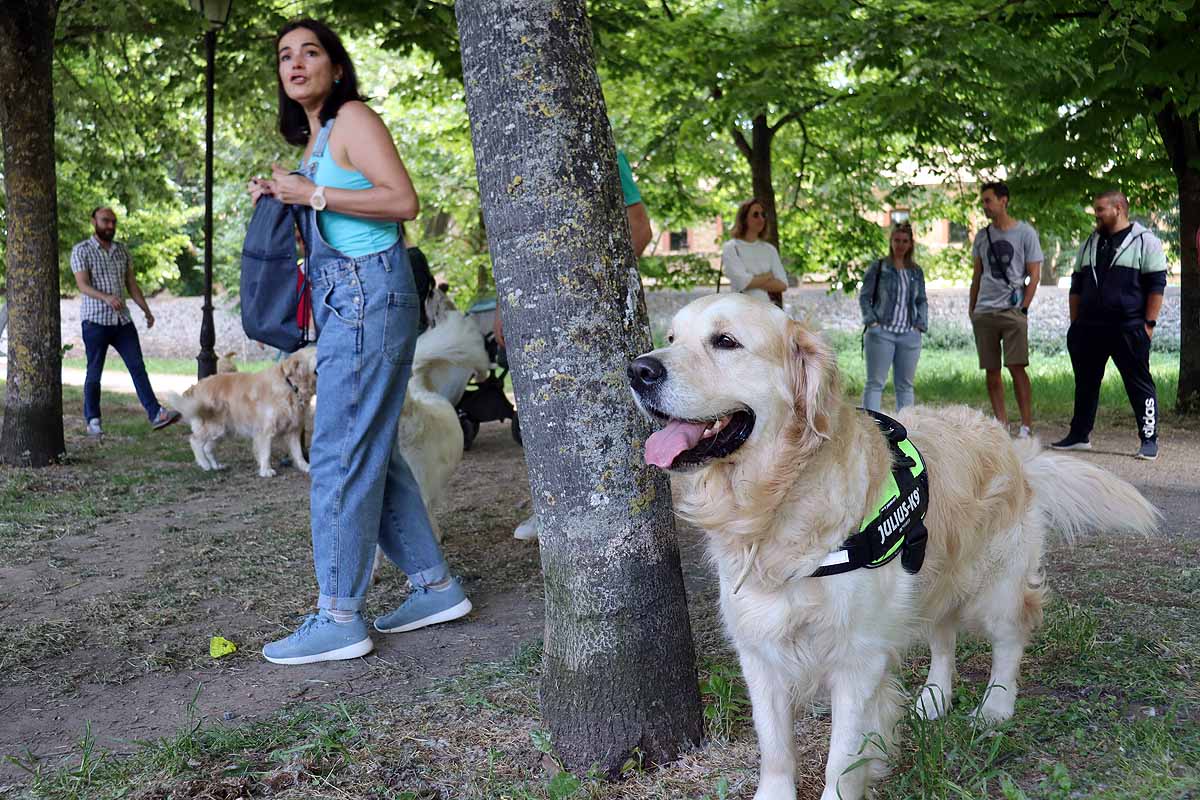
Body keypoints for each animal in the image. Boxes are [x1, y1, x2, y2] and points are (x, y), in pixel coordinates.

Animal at [171, 347, 319, 474]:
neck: (291, 386)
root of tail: (197, 386)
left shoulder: (294, 429)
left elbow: (298, 453)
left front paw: (305, 466)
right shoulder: (265, 430)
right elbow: (266, 452)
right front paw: (266, 470)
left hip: (222, 431)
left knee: (207, 448)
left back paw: (215, 466)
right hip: (213, 426)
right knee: (195, 441)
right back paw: (205, 464)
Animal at [624, 296, 1156, 800]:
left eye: (725, 341)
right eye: (670, 337)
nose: (638, 370)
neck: (774, 502)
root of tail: (1009, 441)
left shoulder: (857, 658)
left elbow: (842, 758)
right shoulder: (758, 651)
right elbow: (775, 750)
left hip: (997, 583)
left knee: (1010, 637)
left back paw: (996, 706)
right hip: (930, 576)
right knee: (943, 637)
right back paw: (935, 697)